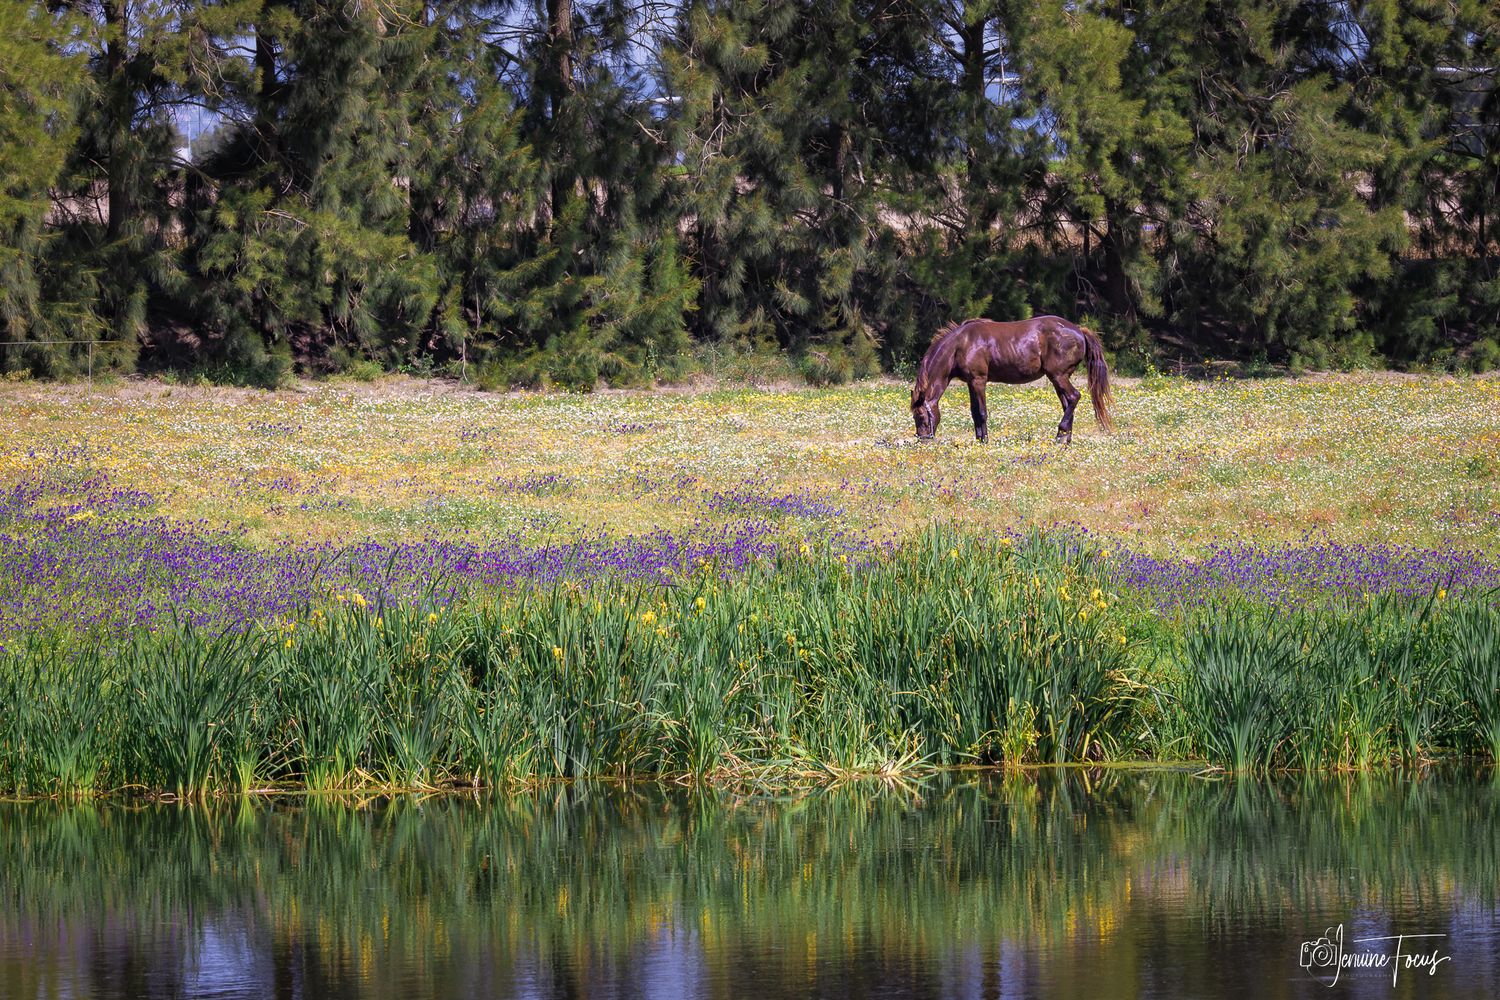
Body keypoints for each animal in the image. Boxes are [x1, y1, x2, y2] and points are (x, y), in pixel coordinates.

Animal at [910, 315, 1113, 444]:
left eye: (920, 416)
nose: (922, 440)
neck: (961, 344)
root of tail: (1079, 330)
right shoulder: (970, 382)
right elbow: (974, 412)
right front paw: (978, 439)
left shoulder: (979, 381)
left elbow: (981, 412)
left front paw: (984, 441)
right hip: (1058, 379)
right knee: (1068, 404)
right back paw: (1064, 438)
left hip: (1059, 376)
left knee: (1074, 397)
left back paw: (1060, 435)